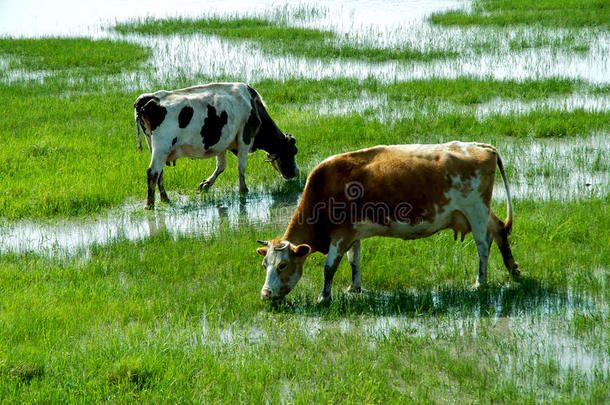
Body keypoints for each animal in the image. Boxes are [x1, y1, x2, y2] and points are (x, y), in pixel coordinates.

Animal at [132, 82, 296, 208]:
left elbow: (221, 166)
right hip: (162, 147)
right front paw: (243, 190)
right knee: (152, 172)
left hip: (153, 146)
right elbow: (241, 167)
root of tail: (149, 98)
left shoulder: (222, 143)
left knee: (159, 173)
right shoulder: (245, 138)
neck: (254, 106)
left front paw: (206, 184)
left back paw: (165, 199)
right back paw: (150, 205)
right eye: (294, 151)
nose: (295, 173)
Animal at [254, 142, 516, 304]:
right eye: (265, 264)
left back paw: (480, 281)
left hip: (476, 211)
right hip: (481, 212)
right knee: (499, 230)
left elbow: (329, 268)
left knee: (483, 246)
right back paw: (513, 270)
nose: (265, 294)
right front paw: (354, 288)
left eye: (283, 265)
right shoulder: (353, 234)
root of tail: (480, 146)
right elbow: (354, 261)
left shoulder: (340, 235)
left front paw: (324, 298)